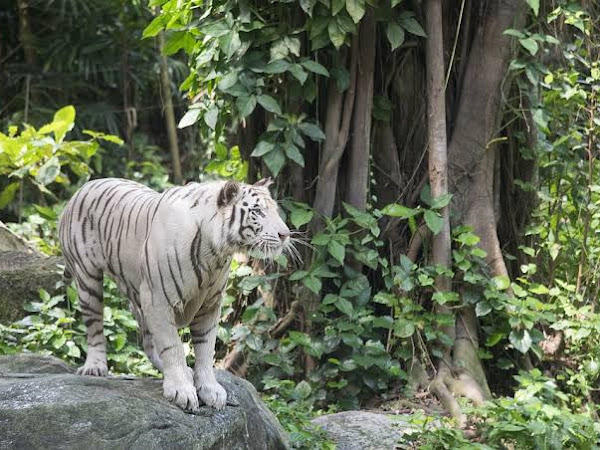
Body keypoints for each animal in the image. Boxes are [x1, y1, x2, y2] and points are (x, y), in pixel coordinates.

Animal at [58, 178, 290, 410]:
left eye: (275, 211)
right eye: (257, 211)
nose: (285, 235)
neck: (216, 255)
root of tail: (84, 187)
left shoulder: (210, 305)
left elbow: (206, 349)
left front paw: (210, 389)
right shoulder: (159, 300)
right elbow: (173, 346)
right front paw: (181, 390)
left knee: (148, 343)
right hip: (88, 279)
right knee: (95, 326)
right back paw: (95, 366)